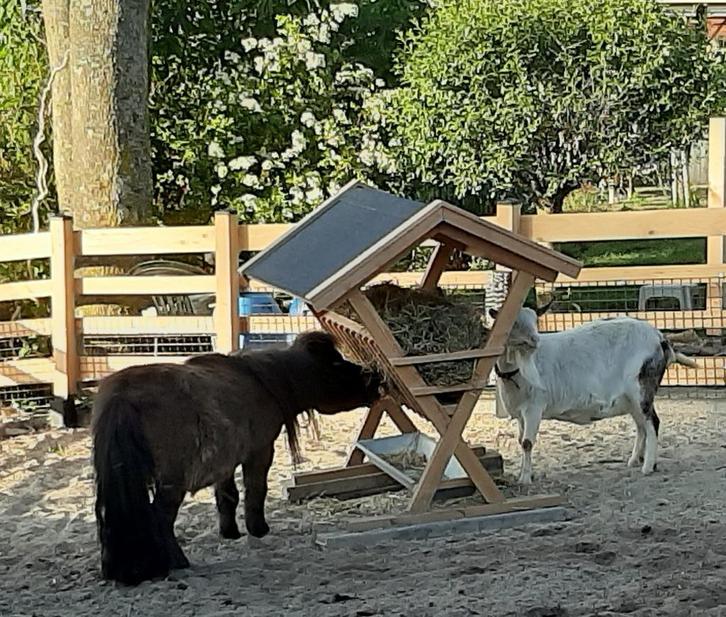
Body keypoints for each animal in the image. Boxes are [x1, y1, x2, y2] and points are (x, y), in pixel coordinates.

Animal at [92, 331, 383, 586]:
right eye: (336, 363)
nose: (376, 376)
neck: (261, 380)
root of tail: (123, 396)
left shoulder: (226, 463)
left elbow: (227, 496)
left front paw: (230, 532)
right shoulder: (260, 451)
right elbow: (256, 490)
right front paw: (258, 529)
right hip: (172, 482)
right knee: (161, 517)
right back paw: (177, 562)